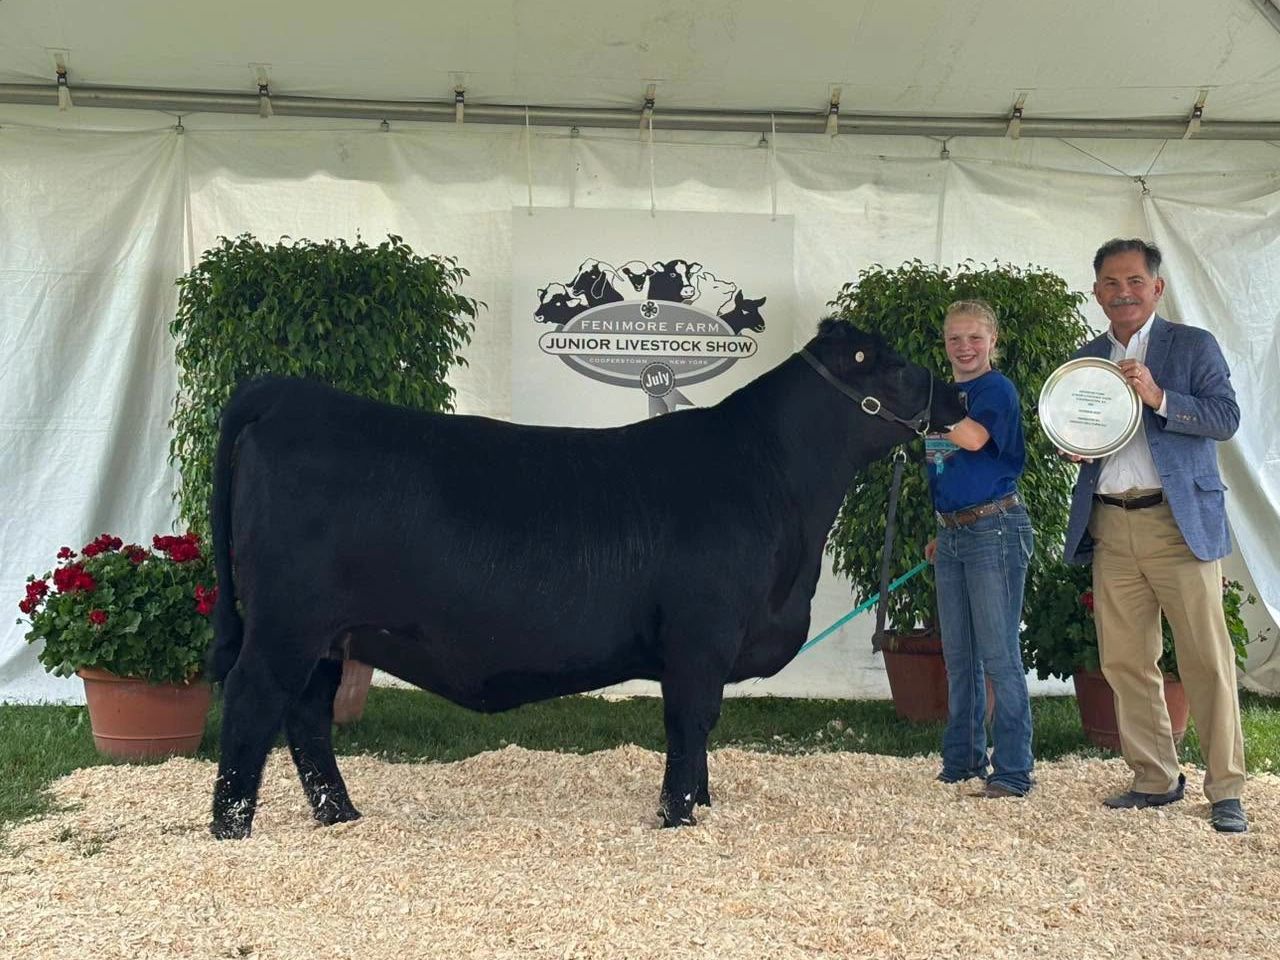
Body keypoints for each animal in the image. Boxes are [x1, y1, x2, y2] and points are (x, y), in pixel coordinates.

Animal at [207, 318, 967, 839]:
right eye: (894, 363)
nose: (957, 395)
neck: (772, 480)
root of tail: (286, 392)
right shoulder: (701, 635)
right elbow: (690, 721)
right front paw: (678, 816)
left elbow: (702, 729)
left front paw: (701, 803)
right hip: (287, 623)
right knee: (253, 704)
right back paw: (233, 828)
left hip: (331, 635)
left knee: (308, 717)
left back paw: (341, 816)